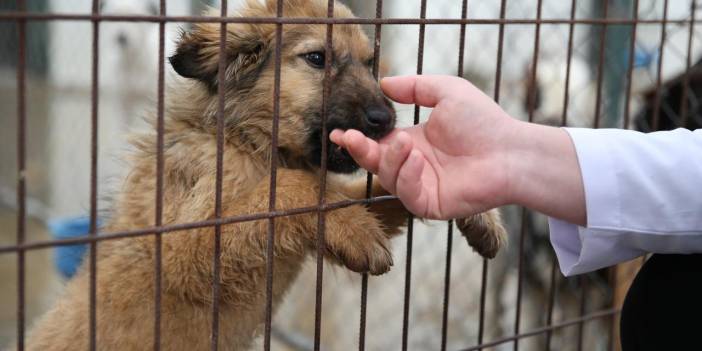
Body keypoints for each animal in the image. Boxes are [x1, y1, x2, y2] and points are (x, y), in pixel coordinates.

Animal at [23, 1, 506, 350]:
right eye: (317, 58)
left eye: (370, 63)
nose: (384, 121)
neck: (250, 142)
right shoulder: (181, 249)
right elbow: (291, 189)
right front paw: (354, 229)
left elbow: (381, 192)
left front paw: (474, 208)